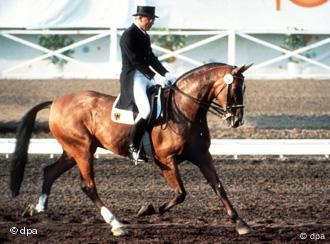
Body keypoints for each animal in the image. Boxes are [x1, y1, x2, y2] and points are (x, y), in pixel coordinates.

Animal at [9, 62, 253, 236]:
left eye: (244, 87)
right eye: (234, 88)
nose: (237, 120)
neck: (185, 109)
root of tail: (56, 102)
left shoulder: (202, 156)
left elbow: (219, 187)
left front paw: (241, 223)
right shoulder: (166, 160)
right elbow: (181, 193)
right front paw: (149, 209)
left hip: (73, 151)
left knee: (49, 172)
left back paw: (37, 209)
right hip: (82, 151)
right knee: (88, 186)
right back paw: (116, 224)